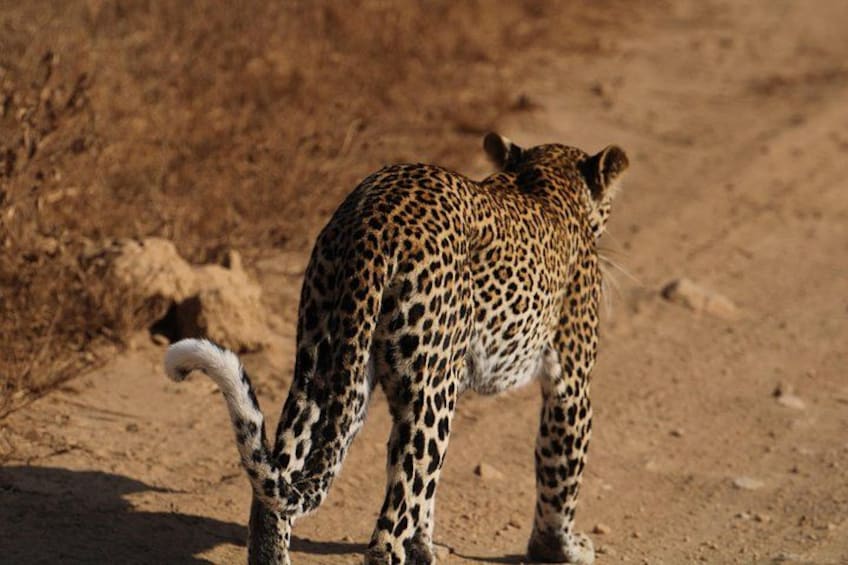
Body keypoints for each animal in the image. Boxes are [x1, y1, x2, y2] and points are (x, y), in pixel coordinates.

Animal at [163, 132, 628, 565]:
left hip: (324, 366)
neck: (545, 181)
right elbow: (560, 472)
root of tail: (375, 218)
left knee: (275, 492)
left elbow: (420, 492)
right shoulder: (570, 384)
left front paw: (423, 548)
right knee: (383, 537)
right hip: (427, 396)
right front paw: (560, 548)